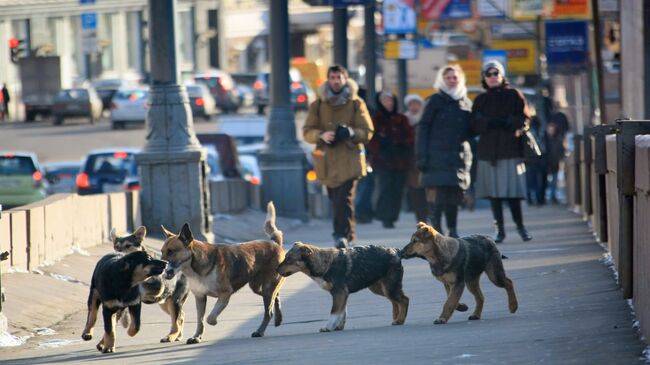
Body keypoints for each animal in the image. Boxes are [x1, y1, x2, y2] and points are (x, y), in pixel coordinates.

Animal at [159, 200, 284, 342]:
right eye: (162, 252)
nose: (161, 268)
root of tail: (274, 243)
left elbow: (210, 318)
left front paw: (213, 323)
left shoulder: (225, 294)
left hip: (267, 287)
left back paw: (260, 331)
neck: (195, 268)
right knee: (276, 295)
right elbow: (200, 320)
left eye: (171, 252)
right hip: (257, 287)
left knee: (269, 311)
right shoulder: (200, 297)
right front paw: (197, 336)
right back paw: (278, 317)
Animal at [276, 240, 408, 332]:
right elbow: (342, 312)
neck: (324, 264)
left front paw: (328, 327)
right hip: (380, 288)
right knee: (395, 301)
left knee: (404, 300)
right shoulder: (342, 294)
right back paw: (396, 318)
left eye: (289, 259)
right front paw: (338, 327)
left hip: (389, 287)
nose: (276, 269)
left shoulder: (339, 293)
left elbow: (335, 312)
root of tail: (396, 251)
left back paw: (400, 320)